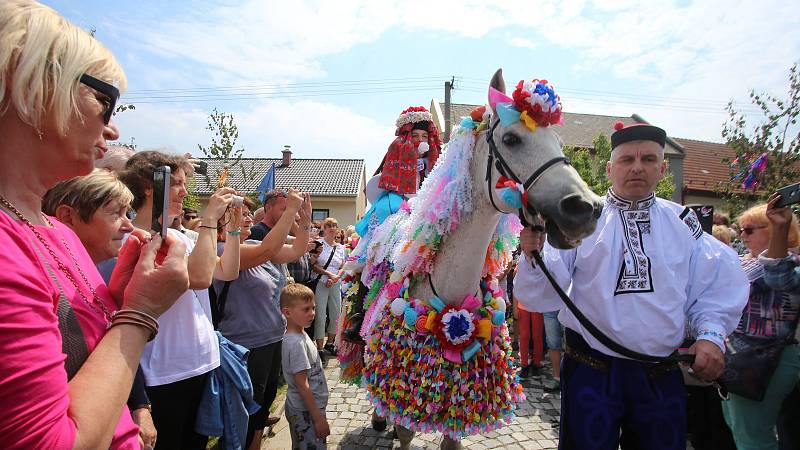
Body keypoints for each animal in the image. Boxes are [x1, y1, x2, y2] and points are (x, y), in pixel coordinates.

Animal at [350, 68, 600, 448]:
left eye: (558, 142)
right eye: (511, 139)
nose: (586, 208)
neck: (449, 292)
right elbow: (404, 428)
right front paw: (389, 422)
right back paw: (380, 418)